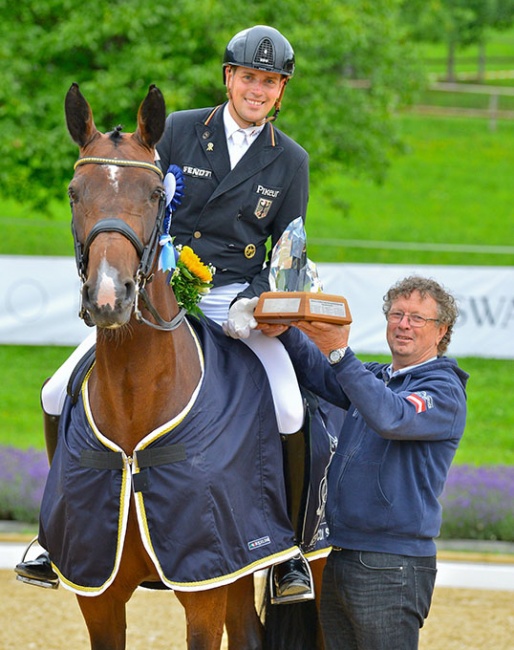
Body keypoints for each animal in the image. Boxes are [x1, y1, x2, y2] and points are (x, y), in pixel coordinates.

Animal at [39, 81, 308, 648]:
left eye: (155, 194)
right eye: (74, 192)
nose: (109, 297)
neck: (136, 399)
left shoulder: (204, 582)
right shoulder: (98, 593)